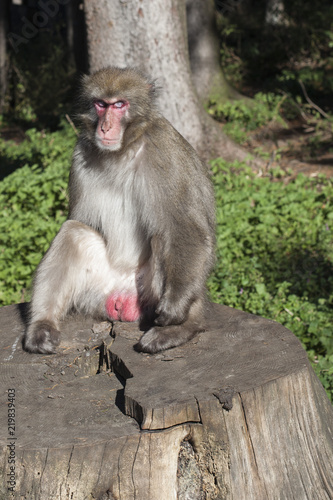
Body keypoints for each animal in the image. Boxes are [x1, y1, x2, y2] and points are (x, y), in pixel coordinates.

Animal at [24, 67, 215, 356]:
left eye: (119, 105)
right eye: (101, 104)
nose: (105, 126)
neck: (122, 151)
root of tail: (123, 295)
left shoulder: (164, 152)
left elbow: (185, 229)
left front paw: (175, 309)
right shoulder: (79, 155)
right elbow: (79, 220)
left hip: (148, 294)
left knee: (163, 237)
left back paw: (180, 329)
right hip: (97, 291)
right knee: (73, 232)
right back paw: (43, 326)